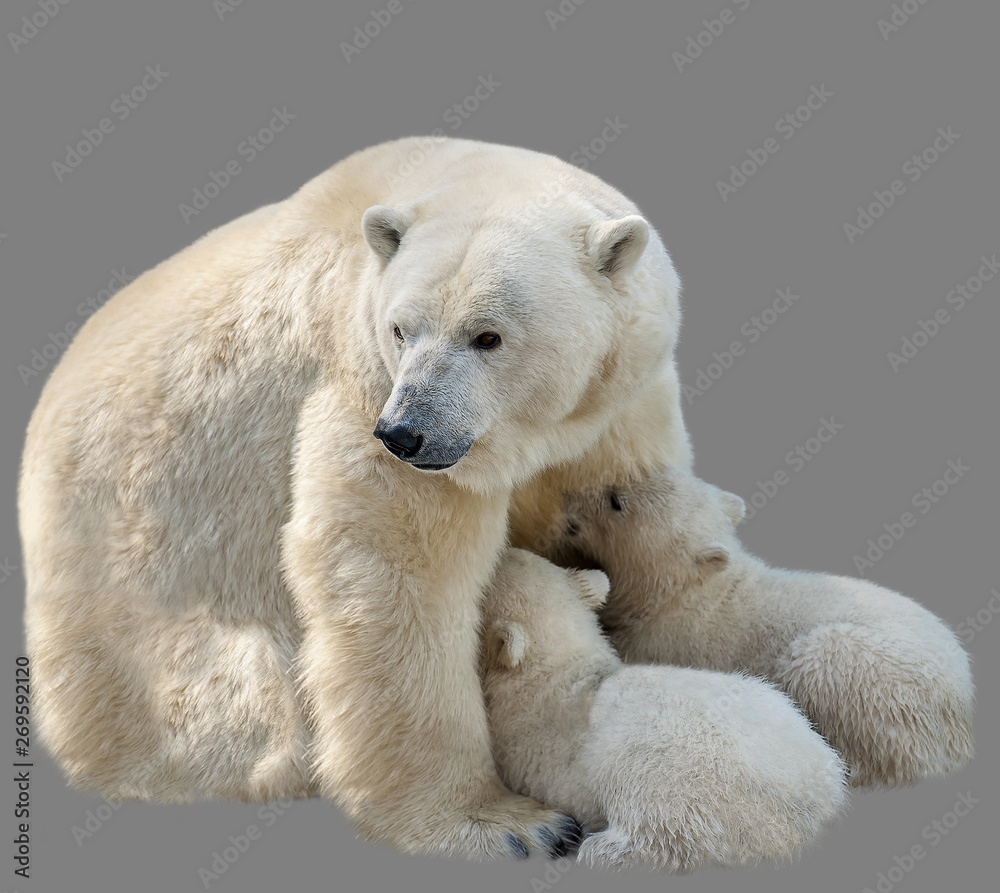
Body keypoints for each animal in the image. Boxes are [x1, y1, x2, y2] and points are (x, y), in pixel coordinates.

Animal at [480, 548, 848, 872]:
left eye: (493, 575)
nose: (503, 549)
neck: (564, 670)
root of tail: (814, 803)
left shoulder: (518, 736)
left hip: (691, 780)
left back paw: (604, 849)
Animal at [560, 467, 975, 787]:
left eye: (616, 500)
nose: (566, 494)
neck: (683, 592)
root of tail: (962, 711)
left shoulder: (663, 637)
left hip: (876, 684)